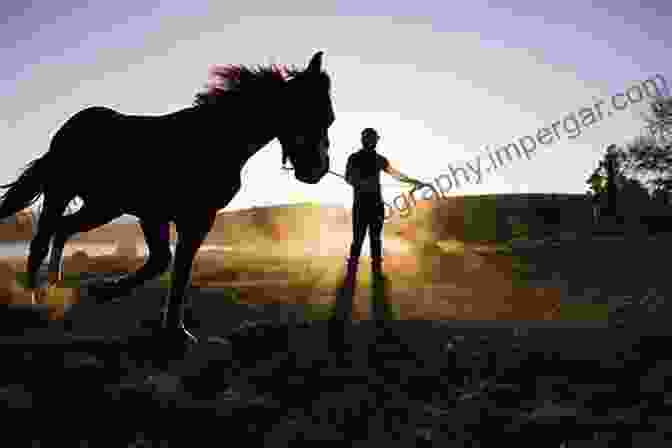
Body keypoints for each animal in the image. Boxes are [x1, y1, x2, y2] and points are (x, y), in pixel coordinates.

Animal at [0, 51, 334, 346]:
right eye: (308, 112)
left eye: (329, 118)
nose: (317, 170)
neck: (215, 139)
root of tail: (67, 130)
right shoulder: (175, 215)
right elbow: (173, 266)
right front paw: (171, 329)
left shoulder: (173, 216)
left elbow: (166, 264)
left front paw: (107, 293)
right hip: (63, 193)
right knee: (40, 242)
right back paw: (36, 299)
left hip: (102, 206)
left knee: (63, 229)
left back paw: (55, 285)